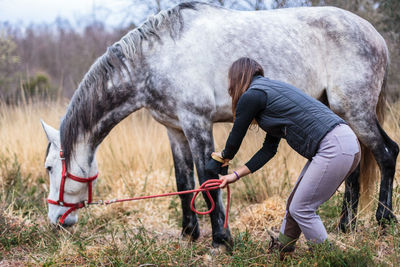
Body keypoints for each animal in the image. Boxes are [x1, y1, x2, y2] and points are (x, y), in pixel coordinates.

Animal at [40, 1, 396, 250]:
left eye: (49, 168)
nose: (55, 220)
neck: (157, 57)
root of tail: (374, 34)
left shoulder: (197, 122)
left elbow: (208, 176)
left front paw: (221, 239)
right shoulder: (175, 129)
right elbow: (183, 179)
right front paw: (189, 233)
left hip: (355, 110)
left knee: (386, 154)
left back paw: (383, 220)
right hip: (338, 111)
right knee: (355, 166)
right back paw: (346, 226)